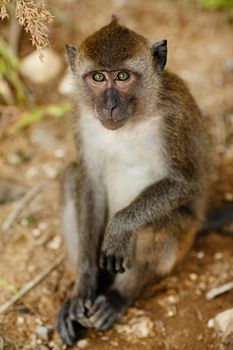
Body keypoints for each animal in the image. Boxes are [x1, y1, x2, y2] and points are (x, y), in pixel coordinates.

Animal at [56, 15, 211, 344]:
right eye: (98, 77)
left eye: (123, 76)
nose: (110, 105)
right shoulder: (81, 117)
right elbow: (89, 183)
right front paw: (84, 282)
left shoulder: (174, 117)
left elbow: (185, 183)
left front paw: (120, 227)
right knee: (71, 178)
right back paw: (82, 294)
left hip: (185, 240)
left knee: (159, 227)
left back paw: (118, 297)